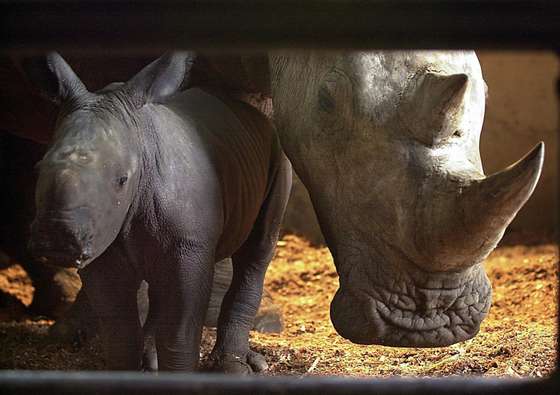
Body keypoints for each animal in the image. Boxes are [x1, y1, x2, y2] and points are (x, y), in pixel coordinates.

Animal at [29, 53, 294, 374]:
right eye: (38, 169)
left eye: (122, 180)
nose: (57, 238)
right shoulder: (102, 243)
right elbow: (119, 330)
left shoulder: (189, 245)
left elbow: (179, 331)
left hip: (276, 154)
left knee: (257, 250)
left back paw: (233, 367)